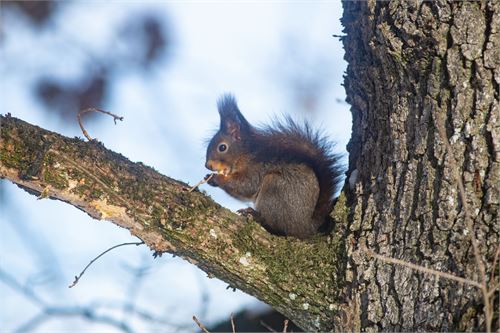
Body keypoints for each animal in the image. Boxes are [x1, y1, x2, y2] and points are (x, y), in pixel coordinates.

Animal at [204, 94, 344, 237]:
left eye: (222, 147)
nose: (208, 166)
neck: (244, 155)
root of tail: (307, 227)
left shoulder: (256, 168)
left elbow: (246, 185)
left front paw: (216, 178)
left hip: (275, 188)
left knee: (277, 226)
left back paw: (256, 216)